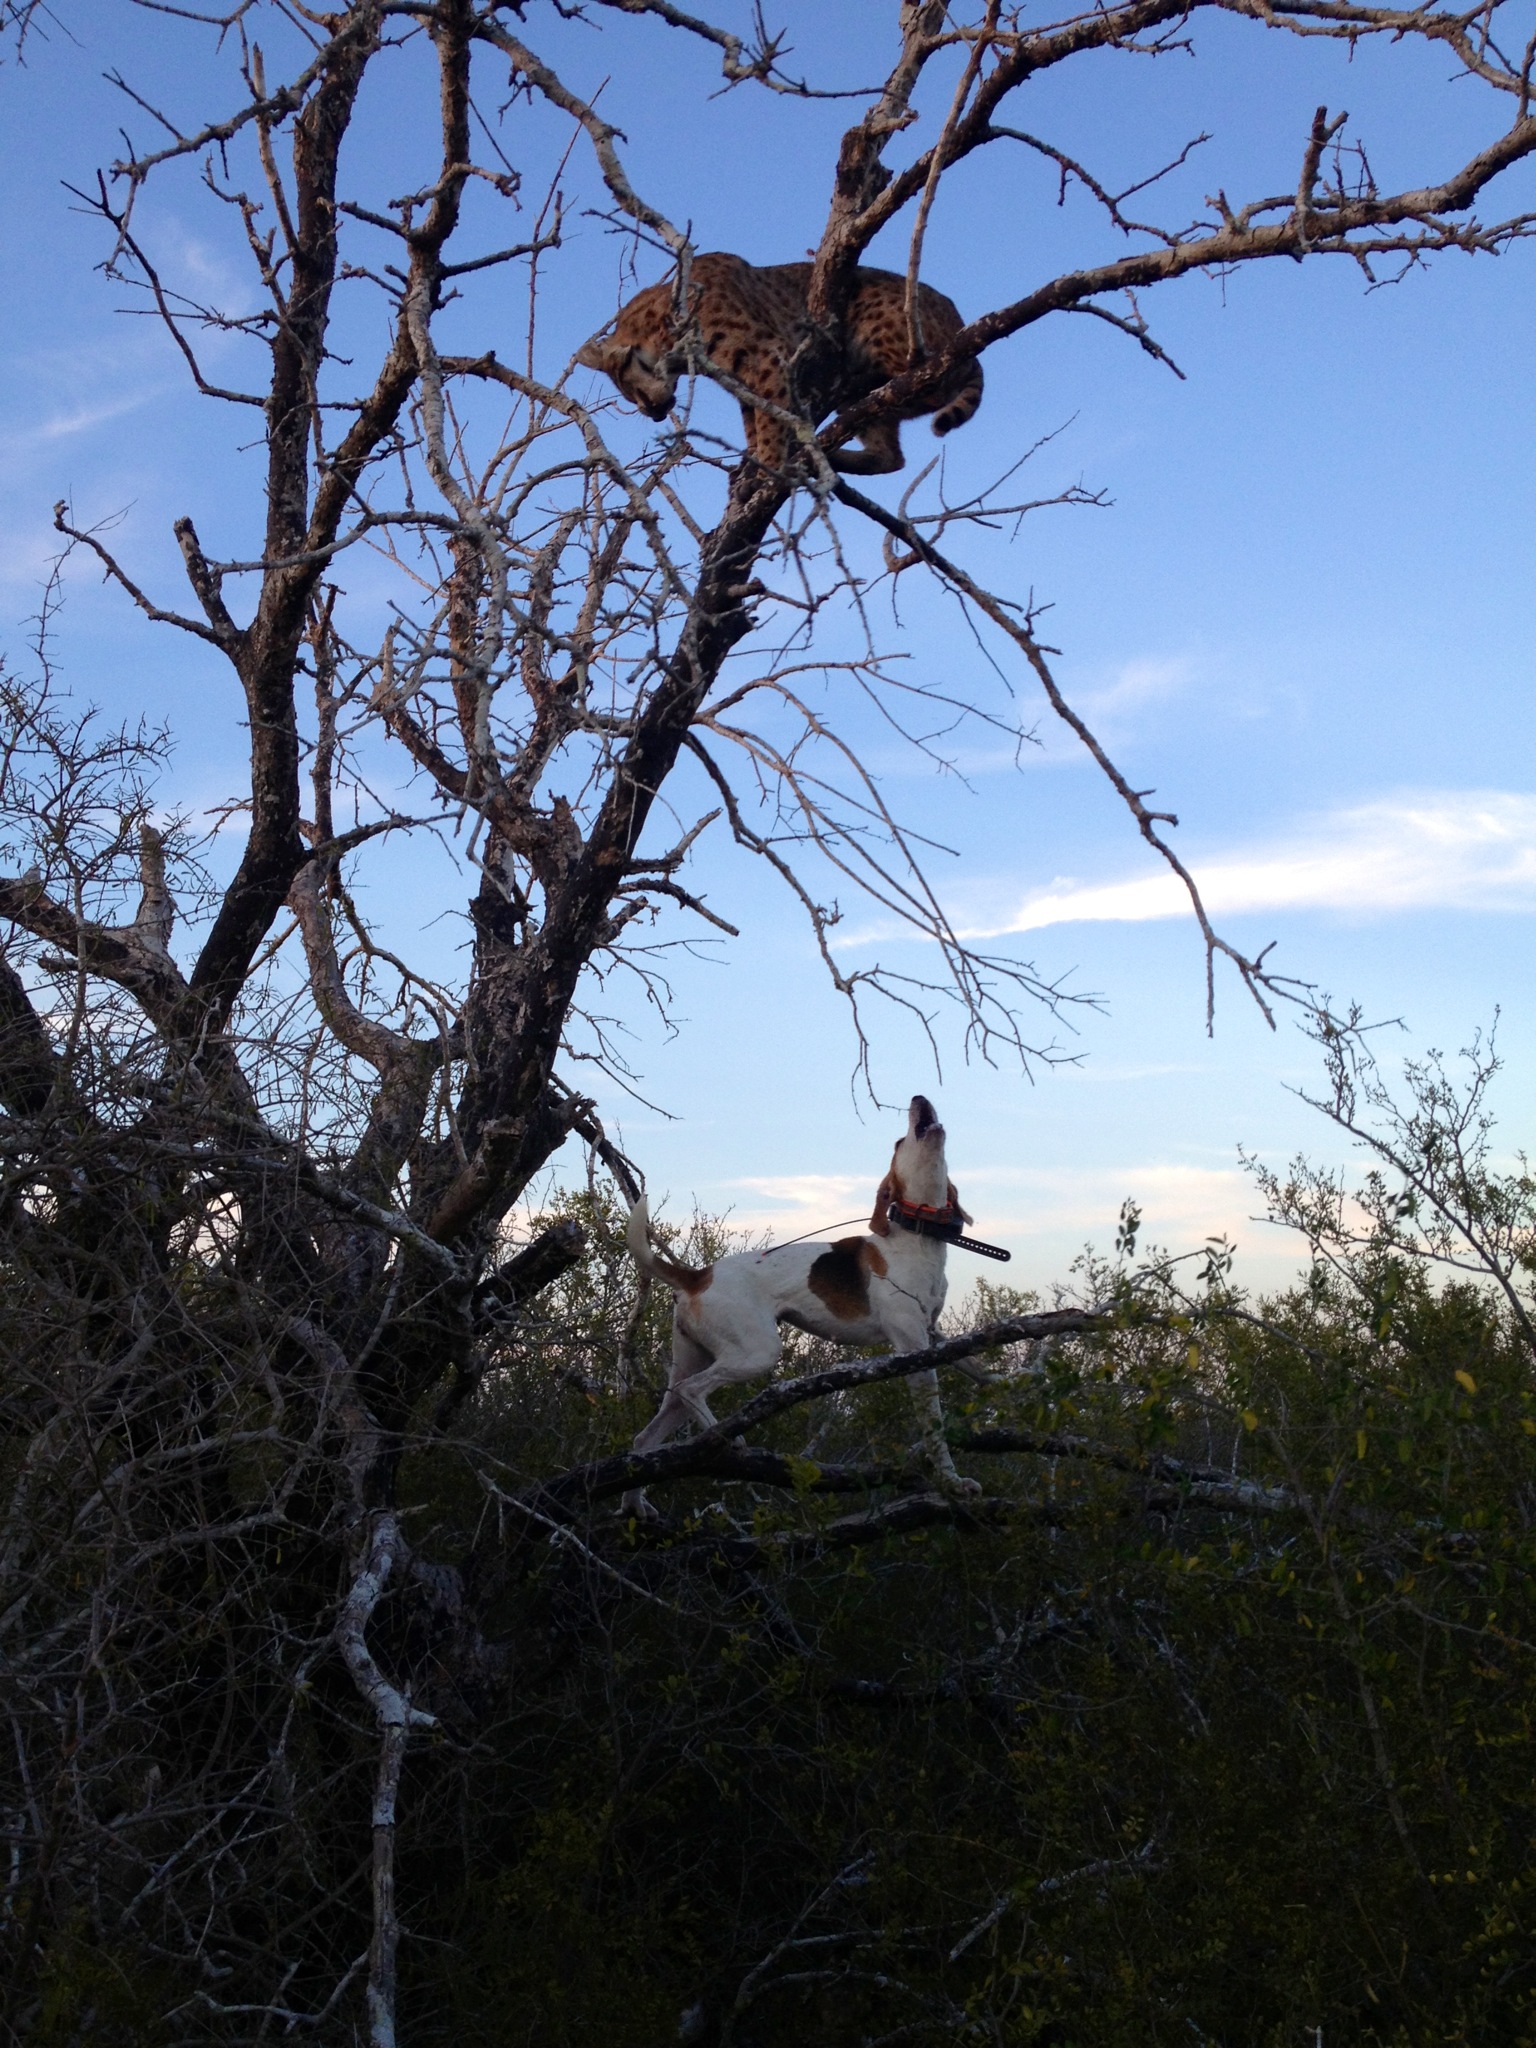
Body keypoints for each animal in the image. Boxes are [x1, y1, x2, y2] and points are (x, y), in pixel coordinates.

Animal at [620, 1095, 984, 1516]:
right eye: (899, 1141)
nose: (919, 1099)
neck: (917, 1237)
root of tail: (698, 1275)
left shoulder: (933, 1333)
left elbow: (979, 1369)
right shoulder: (914, 1349)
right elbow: (934, 1427)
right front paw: (951, 1483)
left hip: (692, 1358)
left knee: (646, 1437)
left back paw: (636, 1504)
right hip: (757, 1352)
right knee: (692, 1390)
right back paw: (726, 1439)